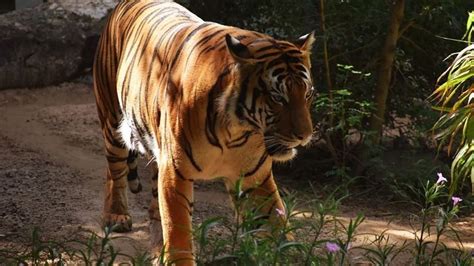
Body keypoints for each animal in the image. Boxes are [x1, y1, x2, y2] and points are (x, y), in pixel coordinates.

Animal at [92, 0, 314, 262]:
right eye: (277, 97)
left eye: (307, 94)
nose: (305, 136)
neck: (237, 131)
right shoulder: (175, 173)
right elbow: (177, 229)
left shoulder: (255, 177)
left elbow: (276, 219)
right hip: (112, 120)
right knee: (114, 170)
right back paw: (116, 216)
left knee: (153, 205)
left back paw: (157, 250)